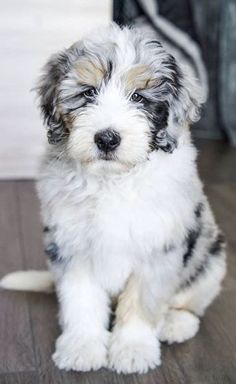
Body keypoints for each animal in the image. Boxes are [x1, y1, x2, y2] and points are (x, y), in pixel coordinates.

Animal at [0, 23, 227, 372]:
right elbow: (80, 299)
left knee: (189, 300)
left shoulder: (157, 246)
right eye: (88, 93)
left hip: (211, 258)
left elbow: (142, 302)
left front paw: (133, 349)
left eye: (138, 97)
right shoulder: (71, 243)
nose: (106, 139)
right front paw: (82, 346)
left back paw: (176, 323)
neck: (112, 180)